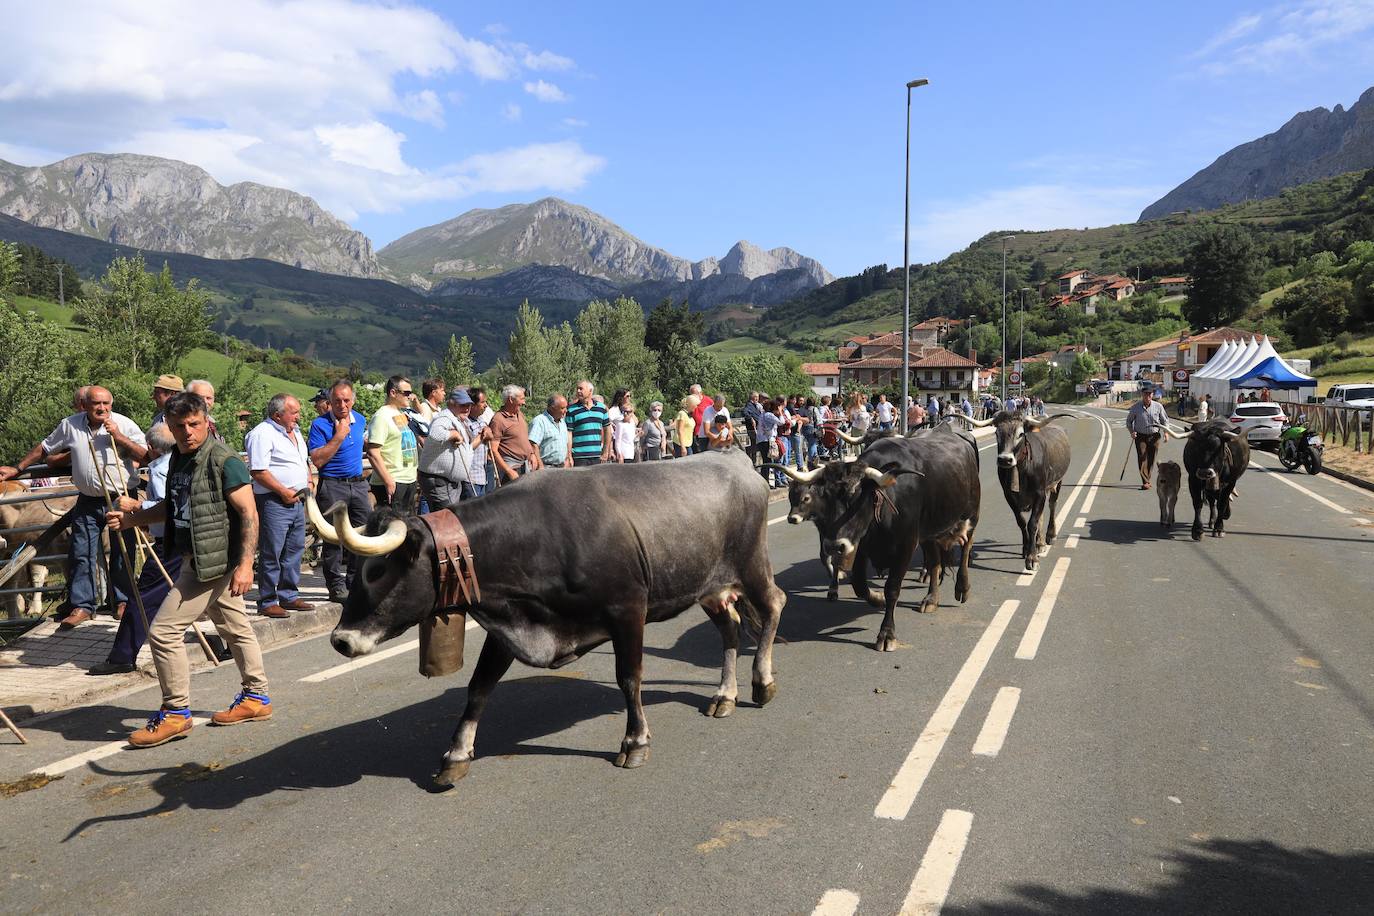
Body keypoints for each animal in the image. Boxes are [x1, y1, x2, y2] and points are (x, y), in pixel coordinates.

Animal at [311, 450, 785, 791]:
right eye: (356, 570)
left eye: (377, 570)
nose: (341, 639)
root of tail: (735, 457)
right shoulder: (507, 624)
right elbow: (479, 687)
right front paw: (456, 756)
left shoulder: (628, 609)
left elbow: (629, 677)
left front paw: (634, 742)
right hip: (707, 586)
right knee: (730, 628)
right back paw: (724, 695)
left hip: (750, 566)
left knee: (773, 606)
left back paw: (761, 683)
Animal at [774, 425, 978, 650]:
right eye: (824, 496)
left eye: (856, 497)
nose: (833, 546)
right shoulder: (860, 546)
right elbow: (860, 586)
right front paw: (877, 599)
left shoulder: (905, 546)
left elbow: (892, 588)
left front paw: (887, 633)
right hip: (929, 533)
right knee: (934, 563)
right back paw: (931, 599)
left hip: (970, 515)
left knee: (966, 549)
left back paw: (962, 587)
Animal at [956, 409, 1071, 568]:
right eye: (997, 433)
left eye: (1020, 434)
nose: (1005, 459)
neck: (1022, 469)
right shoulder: (1009, 496)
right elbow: (1022, 522)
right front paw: (1026, 548)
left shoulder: (1039, 493)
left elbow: (1032, 523)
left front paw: (1032, 558)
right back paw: (1039, 543)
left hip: (1057, 482)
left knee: (1052, 505)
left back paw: (1050, 535)